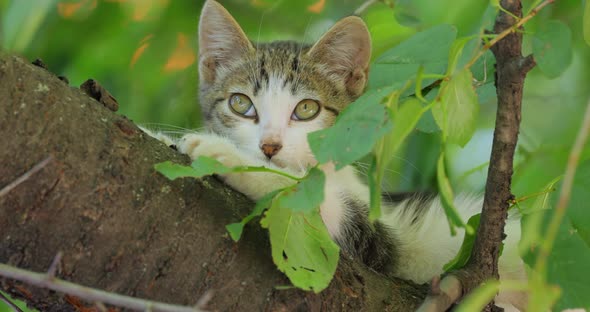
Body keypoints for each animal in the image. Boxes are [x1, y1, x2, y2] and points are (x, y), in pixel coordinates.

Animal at [148, 1, 528, 310]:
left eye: (306, 109)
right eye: (240, 104)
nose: (269, 146)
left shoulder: (377, 240)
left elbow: (313, 202)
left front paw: (221, 154)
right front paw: (160, 137)